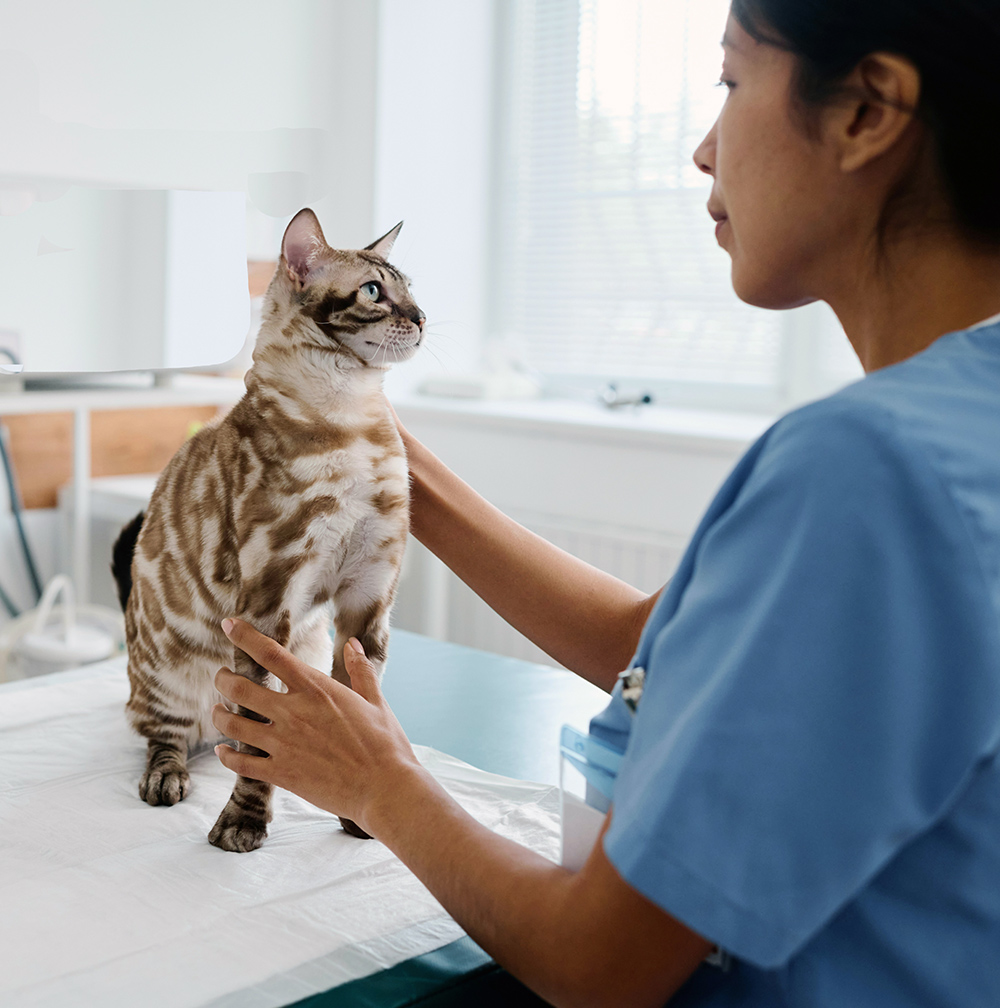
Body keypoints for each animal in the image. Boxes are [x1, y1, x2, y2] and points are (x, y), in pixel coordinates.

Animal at [111, 208, 423, 854]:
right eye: (374, 292)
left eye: (412, 289)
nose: (423, 318)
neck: (352, 418)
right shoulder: (267, 604)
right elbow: (259, 745)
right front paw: (243, 823)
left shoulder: (368, 597)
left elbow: (360, 709)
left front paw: (359, 813)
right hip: (165, 672)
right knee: (166, 735)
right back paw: (166, 777)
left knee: (230, 735)